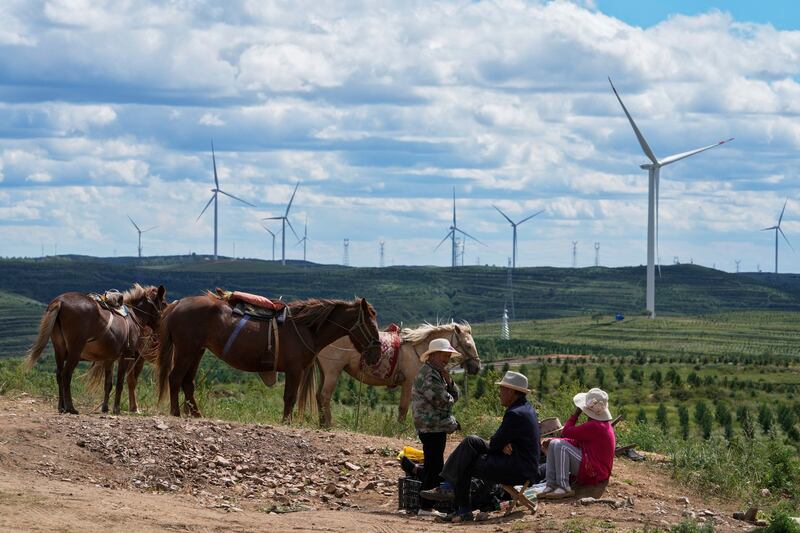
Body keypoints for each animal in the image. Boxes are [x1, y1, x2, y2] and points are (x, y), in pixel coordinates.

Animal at [25, 284, 167, 414]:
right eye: (164, 304)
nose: (160, 334)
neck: (134, 317)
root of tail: (60, 301)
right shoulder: (125, 357)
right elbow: (120, 383)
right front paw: (116, 409)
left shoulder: (109, 359)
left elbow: (108, 384)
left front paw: (105, 408)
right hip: (74, 351)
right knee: (66, 375)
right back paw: (71, 408)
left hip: (59, 350)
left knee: (59, 375)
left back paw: (61, 407)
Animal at [158, 296, 382, 420]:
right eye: (371, 325)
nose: (377, 355)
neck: (306, 327)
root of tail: (178, 304)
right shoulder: (294, 370)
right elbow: (290, 397)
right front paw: (286, 421)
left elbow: (289, 397)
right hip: (186, 351)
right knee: (175, 378)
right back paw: (175, 413)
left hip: (197, 351)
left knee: (188, 382)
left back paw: (196, 414)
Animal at [308, 322, 482, 426]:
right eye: (468, 345)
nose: (477, 367)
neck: (418, 348)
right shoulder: (408, 383)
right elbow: (403, 407)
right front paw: (400, 428)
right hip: (332, 372)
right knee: (325, 396)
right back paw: (329, 424)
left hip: (324, 373)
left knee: (319, 396)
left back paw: (322, 424)